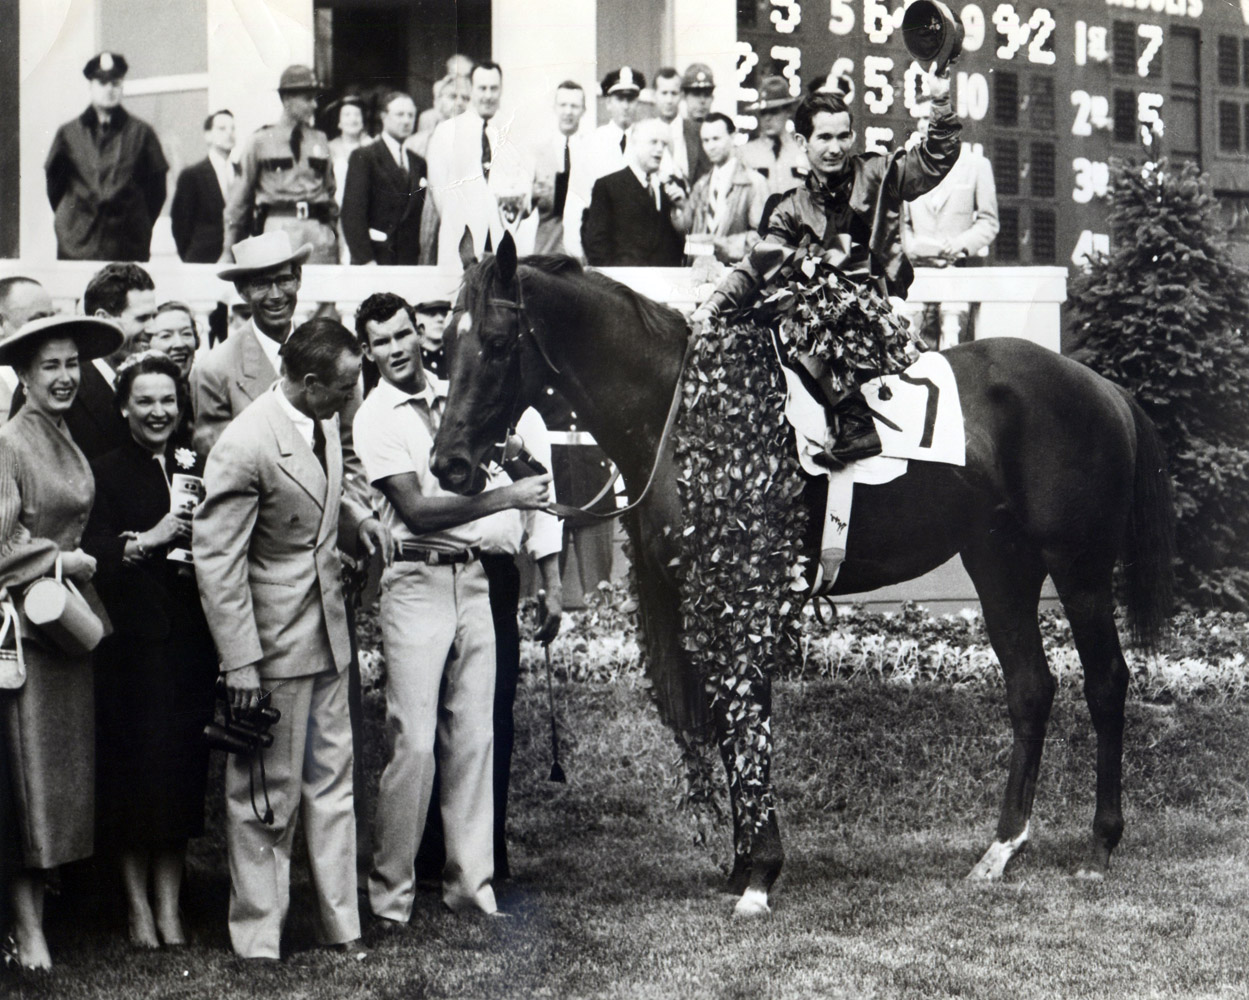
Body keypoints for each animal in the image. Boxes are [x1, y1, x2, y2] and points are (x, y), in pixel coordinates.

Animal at [434, 234, 1174, 913]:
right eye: (446, 344)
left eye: (497, 342)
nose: (448, 466)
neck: (681, 412)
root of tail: (1100, 385)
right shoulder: (701, 598)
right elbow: (727, 720)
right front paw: (741, 865)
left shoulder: (740, 589)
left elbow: (748, 717)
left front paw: (760, 874)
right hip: (999, 564)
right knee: (1030, 688)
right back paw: (1000, 849)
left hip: (1077, 567)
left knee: (1107, 682)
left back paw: (1099, 845)